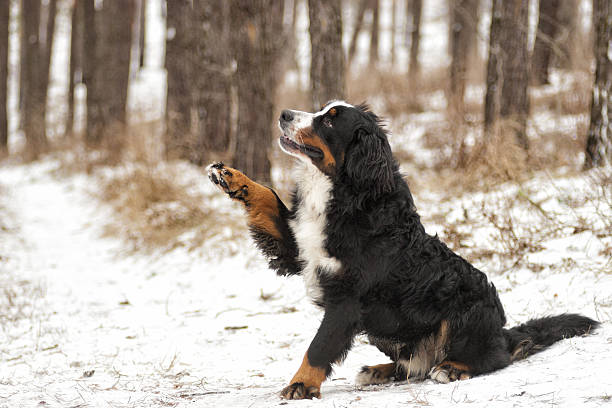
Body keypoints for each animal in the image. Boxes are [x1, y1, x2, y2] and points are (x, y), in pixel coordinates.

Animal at [208, 100, 600, 400]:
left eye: (330, 118)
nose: (285, 113)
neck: (346, 192)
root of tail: (501, 330)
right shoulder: (299, 248)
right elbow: (267, 198)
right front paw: (232, 177)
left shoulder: (347, 299)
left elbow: (319, 346)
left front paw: (300, 385)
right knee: (414, 366)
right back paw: (380, 370)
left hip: (465, 312)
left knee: (492, 358)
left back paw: (452, 368)